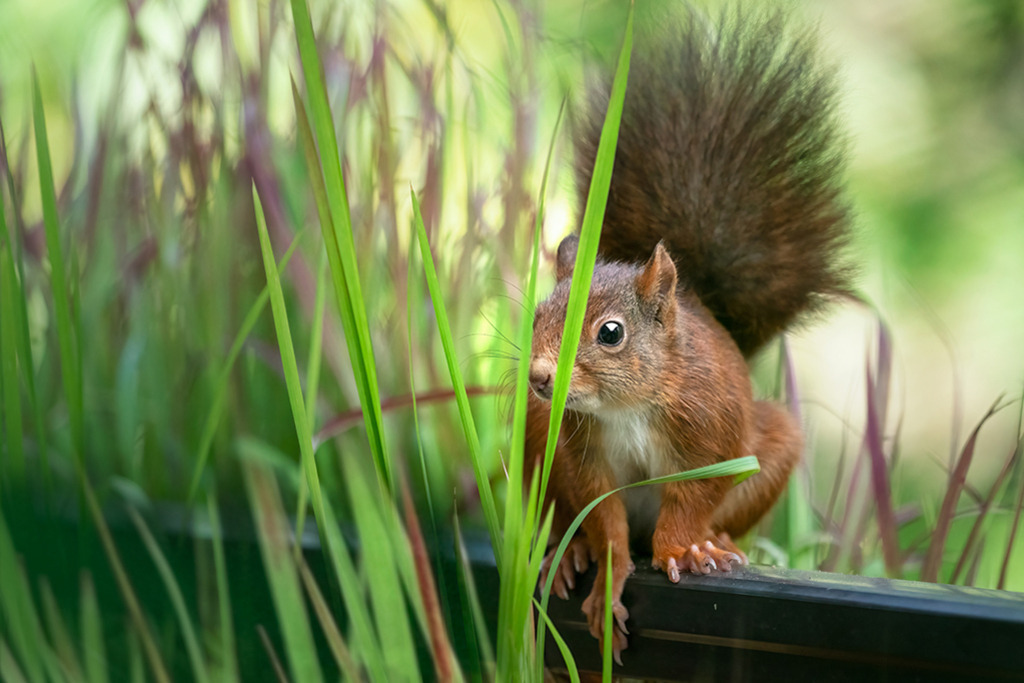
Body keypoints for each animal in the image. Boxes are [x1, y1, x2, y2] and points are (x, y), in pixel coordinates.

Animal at [525, 7, 851, 662]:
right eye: (538, 314)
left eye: (611, 333)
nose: (540, 377)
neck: (627, 406)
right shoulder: (581, 450)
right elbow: (604, 517)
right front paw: (608, 572)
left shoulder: (713, 431)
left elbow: (693, 497)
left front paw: (684, 549)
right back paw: (569, 552)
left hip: (770, 446)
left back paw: (717, 540)